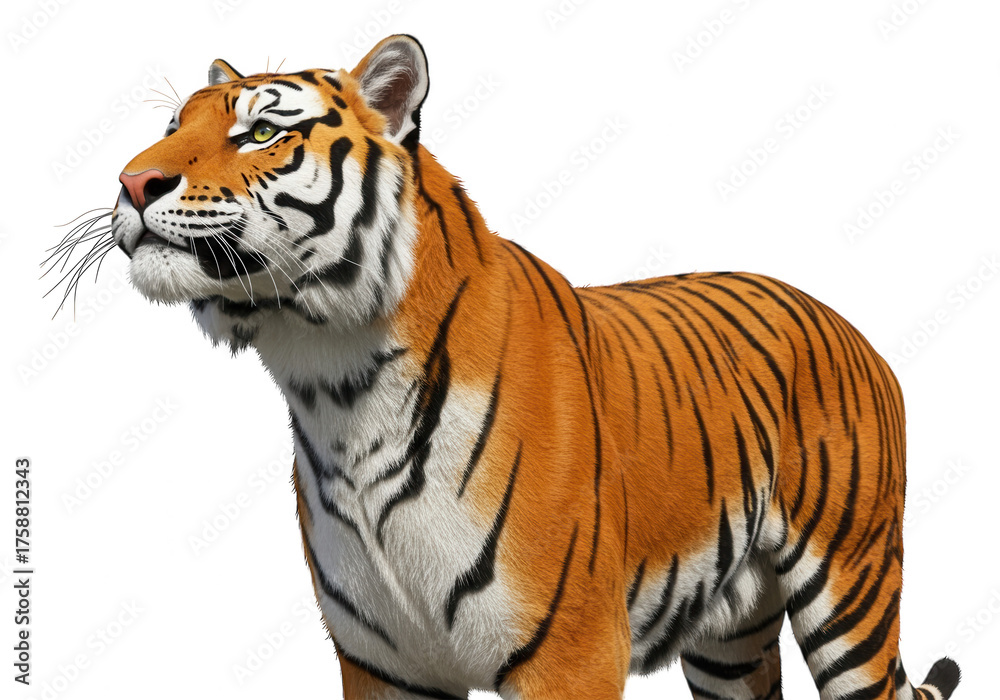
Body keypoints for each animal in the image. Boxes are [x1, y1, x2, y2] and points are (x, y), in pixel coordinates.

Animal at [101, 34, 960, 699]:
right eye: (172, 125)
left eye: (258, 133)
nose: (132, 182)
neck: (334, 382)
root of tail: (846, 323)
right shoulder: (384, 666)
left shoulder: (570, 651)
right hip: (730, 633)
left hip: (851, 589)